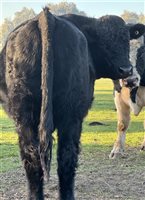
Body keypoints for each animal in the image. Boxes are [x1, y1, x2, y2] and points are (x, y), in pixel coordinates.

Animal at [0, 7, 145, 200]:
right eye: (104, 41)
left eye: (125, 38)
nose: (126, 70)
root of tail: (47, 16)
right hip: (71, 117)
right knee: (67, 157)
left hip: (25, 118)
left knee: (32, 158)